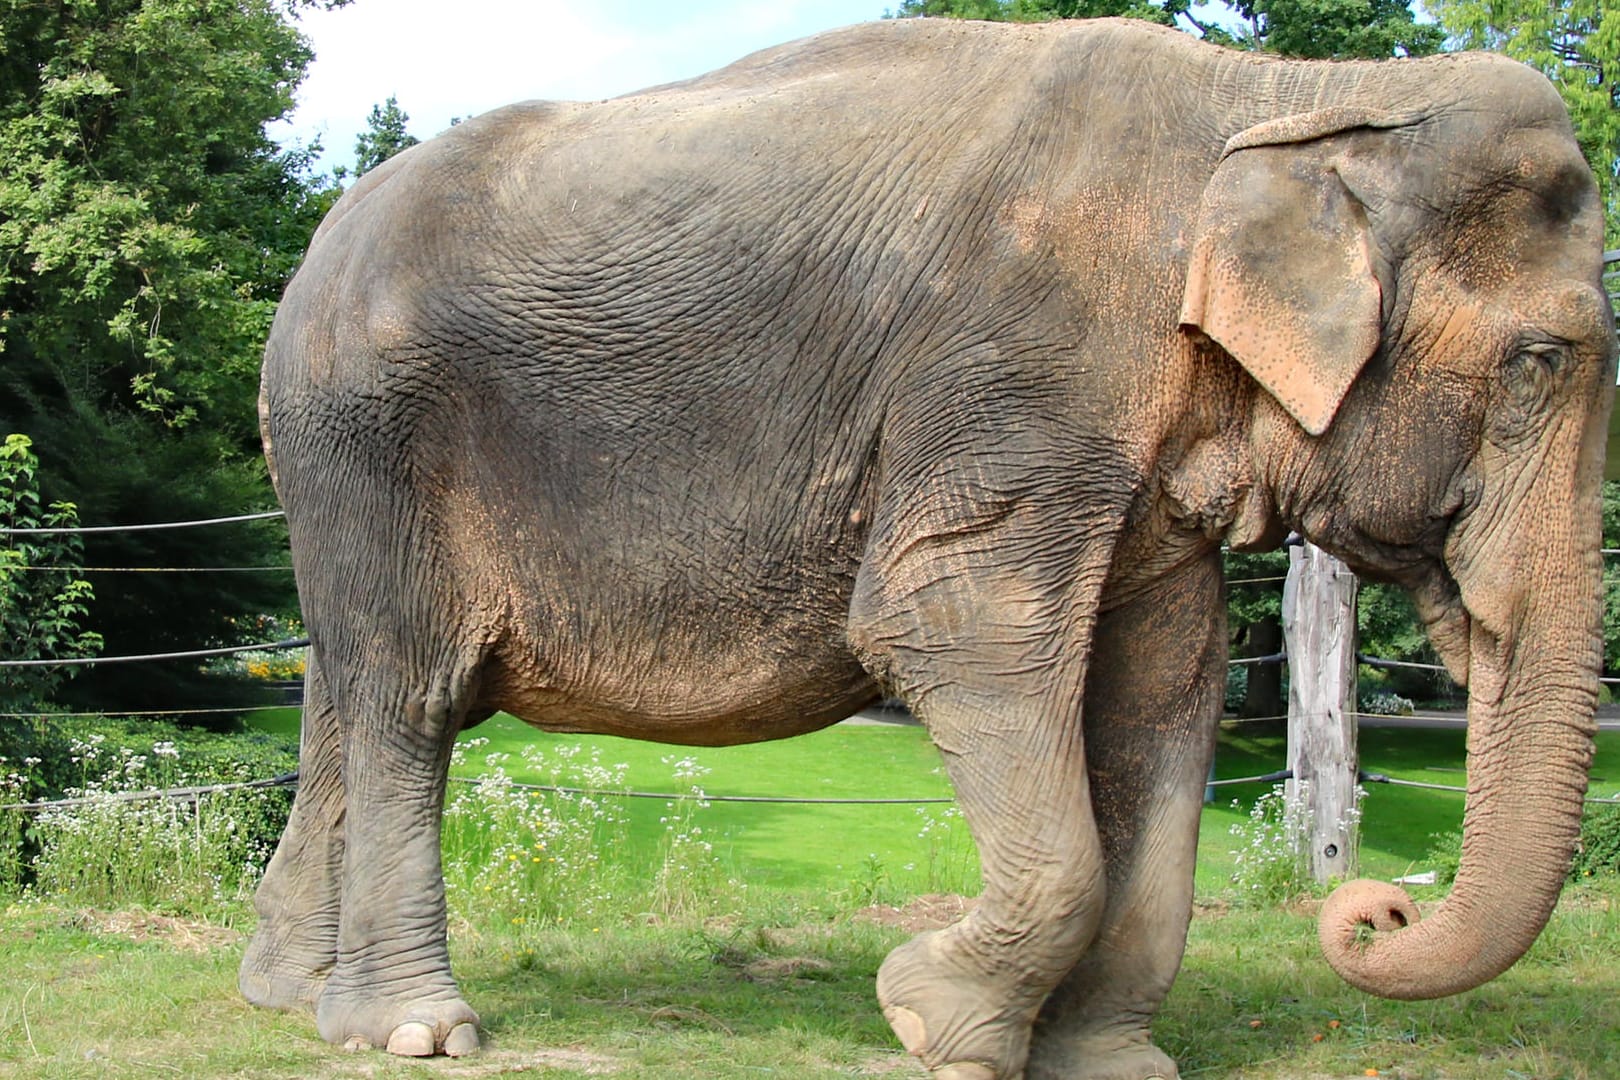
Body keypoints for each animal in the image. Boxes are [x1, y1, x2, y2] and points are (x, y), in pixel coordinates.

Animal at [243, 14, 1620, 1080]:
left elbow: (1161, 698)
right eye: (1539, 362)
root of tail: (309, 256)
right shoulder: (1016, 376)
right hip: (370, 438)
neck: (1294, 94)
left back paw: (289, 999)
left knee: (341, 691)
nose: (1374, 909)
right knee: (410, 696)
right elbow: (950, 629)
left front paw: (1110, 1065)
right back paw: (412, 1032)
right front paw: (931, 1022)